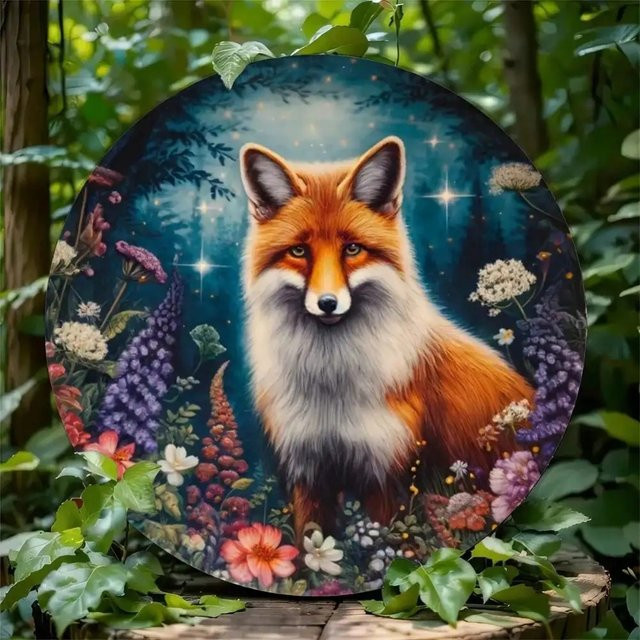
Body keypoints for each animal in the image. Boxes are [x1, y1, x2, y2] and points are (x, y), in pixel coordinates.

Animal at [239, 136, 535, 542]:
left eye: (352, 249)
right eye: (299, 251)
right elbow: (307, 546)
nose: (327, 303)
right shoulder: (308, 470)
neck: (331, 387)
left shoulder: (384, 473)